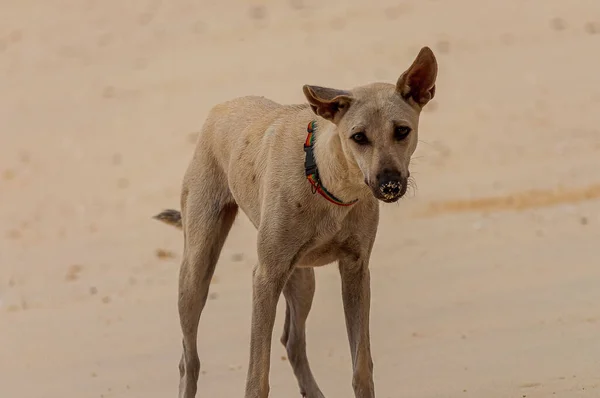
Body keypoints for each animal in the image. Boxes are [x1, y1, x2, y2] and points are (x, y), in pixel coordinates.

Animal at [152, 45, 438, 398]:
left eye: (401, 131)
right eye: (358, 137)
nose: (389, 185)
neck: (330, 183)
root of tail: (221, 107)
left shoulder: (356, 271)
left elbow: (361, 368)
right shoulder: (266, 276)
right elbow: (257, 378)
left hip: (301, 278)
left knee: (292, 341)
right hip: (197, 270)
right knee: (189, 359)